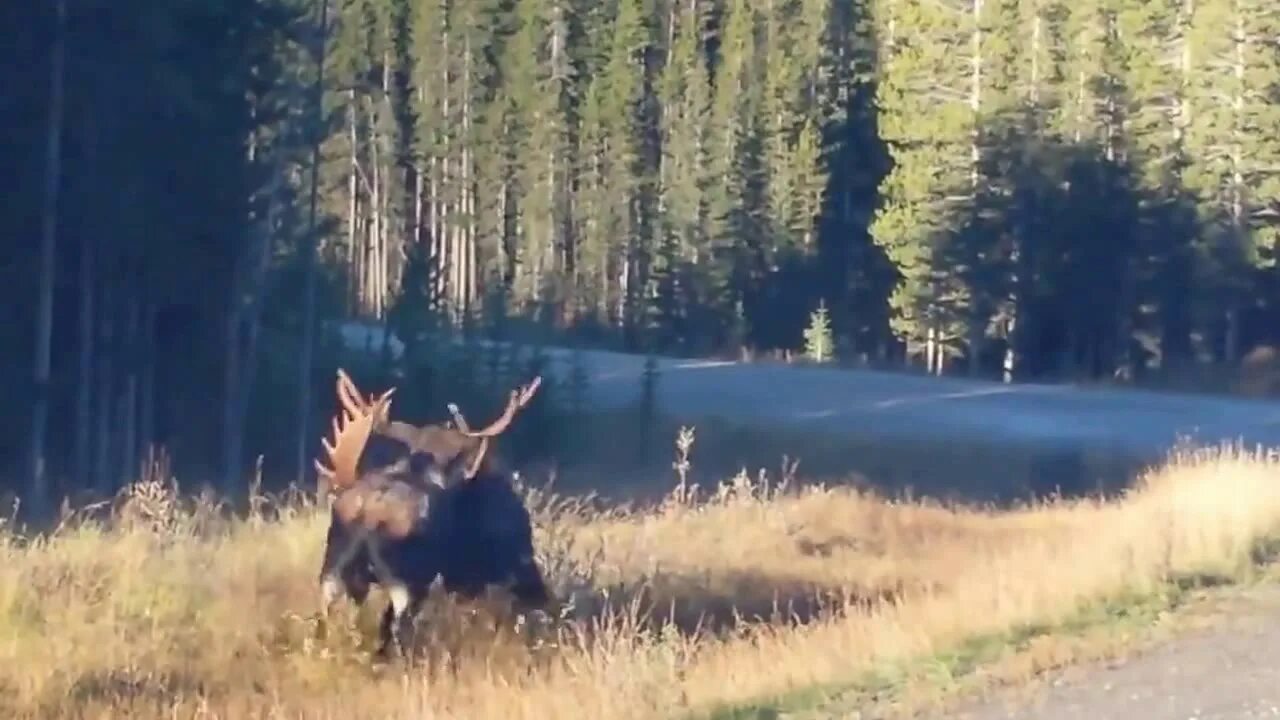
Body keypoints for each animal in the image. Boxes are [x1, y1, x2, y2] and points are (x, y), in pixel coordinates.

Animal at [313, 366, 550, 653]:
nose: (540, 594)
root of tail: (368, 514)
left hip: (334, 569)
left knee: (326, 618)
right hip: (406, 581)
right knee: (396, 626)